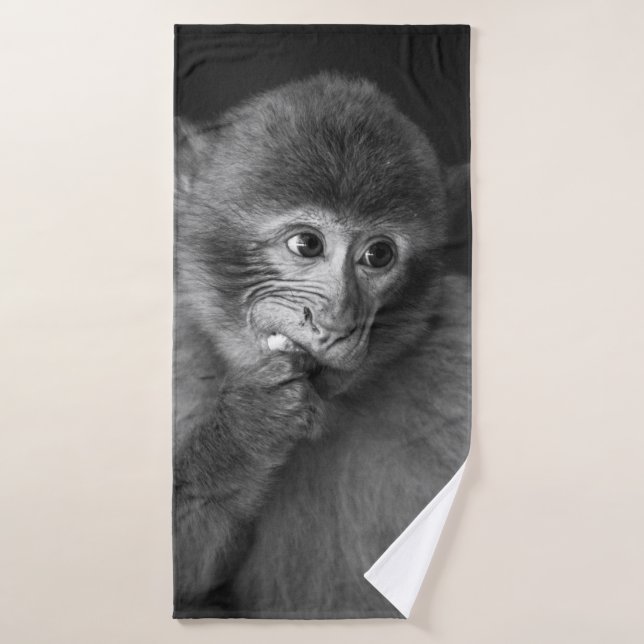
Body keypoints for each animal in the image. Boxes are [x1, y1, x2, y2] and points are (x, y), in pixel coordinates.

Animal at [173, 72, 471, 618]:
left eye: (378, 254)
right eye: (307, 244)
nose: (335, 322)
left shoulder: (456, 349)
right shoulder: (184, 360)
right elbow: (189, 579)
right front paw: (247, 427)